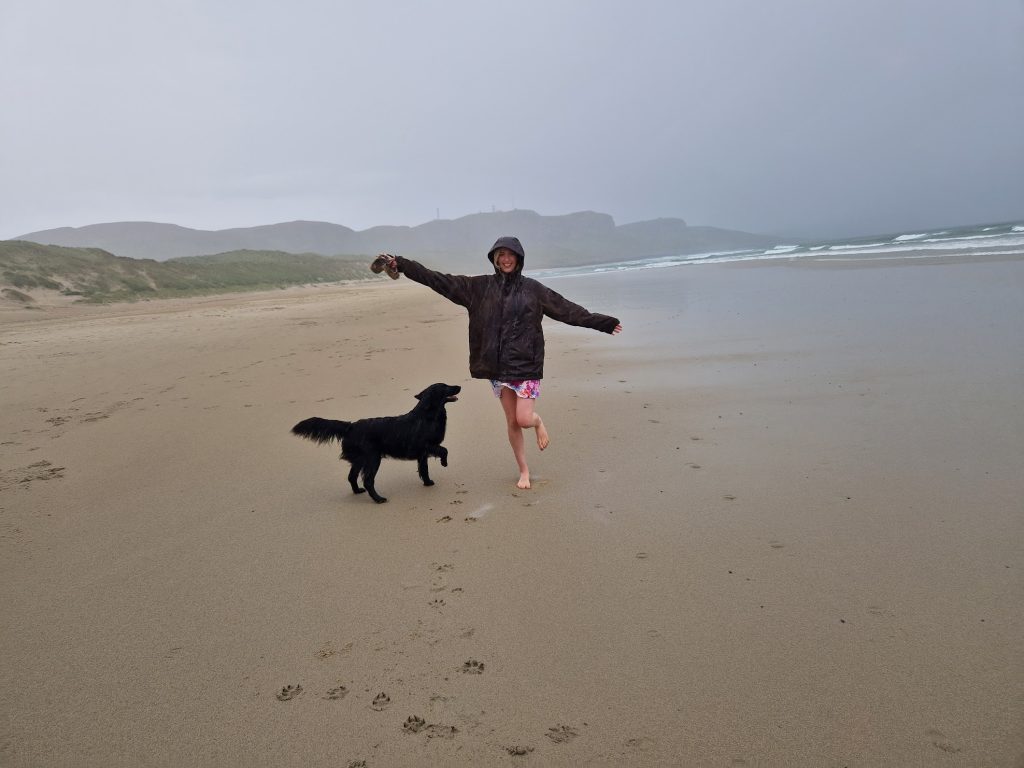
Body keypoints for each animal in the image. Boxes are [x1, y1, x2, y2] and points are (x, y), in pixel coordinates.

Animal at [290, 385, 462, 505]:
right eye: (445, 386)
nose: (460, 386)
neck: (427, 416)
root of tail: (350, 426)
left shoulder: (422, 454)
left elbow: (424, 470)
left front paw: (427, 483)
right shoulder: (427, 446)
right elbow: (444, 450)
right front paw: (444, 463)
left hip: (360, 460)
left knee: (352, 477)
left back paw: (358, 491)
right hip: (372, 459)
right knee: (368, 481)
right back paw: (379, 499)